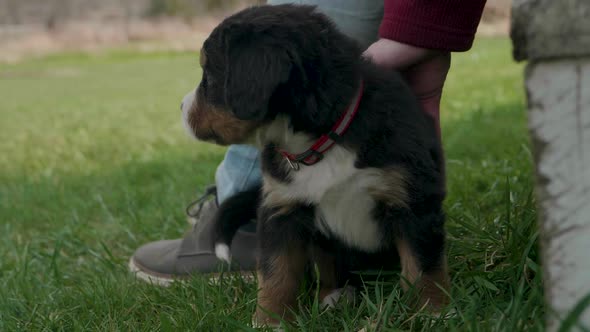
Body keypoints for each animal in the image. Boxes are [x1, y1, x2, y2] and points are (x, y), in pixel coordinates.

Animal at [180, 3, 448, 326]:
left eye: (209, 77)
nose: (181, 108)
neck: (320, 144)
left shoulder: (412, 199)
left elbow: (422, 264)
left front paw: (432, 312)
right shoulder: (281, 208)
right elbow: (277, 272)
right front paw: (269, 321)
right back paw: (335, 296)